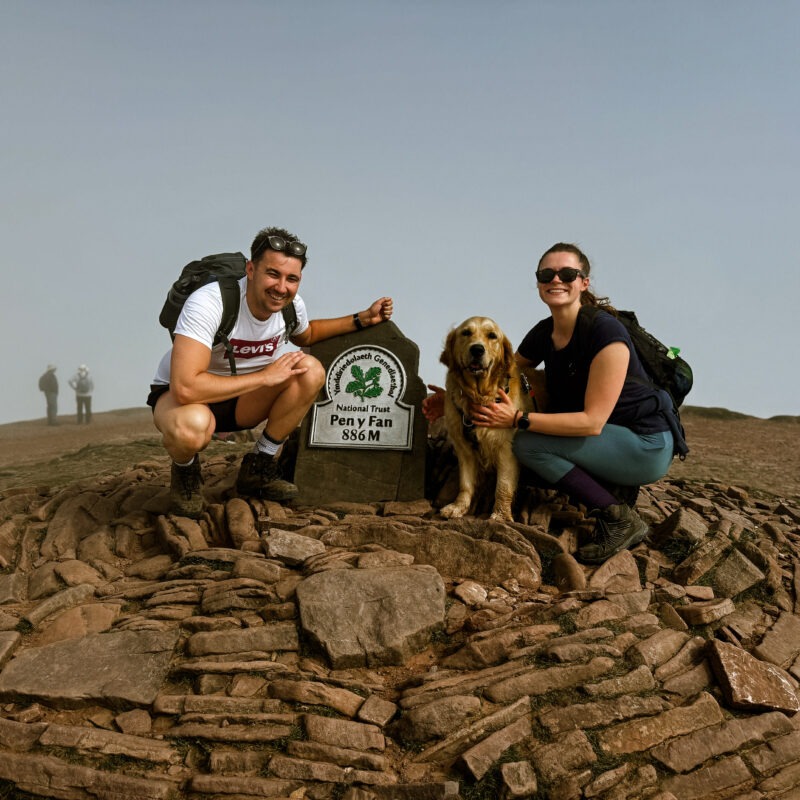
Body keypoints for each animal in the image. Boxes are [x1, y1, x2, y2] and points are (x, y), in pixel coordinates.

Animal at [438, 316, 532, 520]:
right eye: (466, 333)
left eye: (492, 336)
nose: (477, 349)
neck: (479, 395)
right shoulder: (464, 447)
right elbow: (466, 483)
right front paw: (459, 507)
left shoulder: (507, 448)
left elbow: (503, 486)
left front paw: (501, 515)